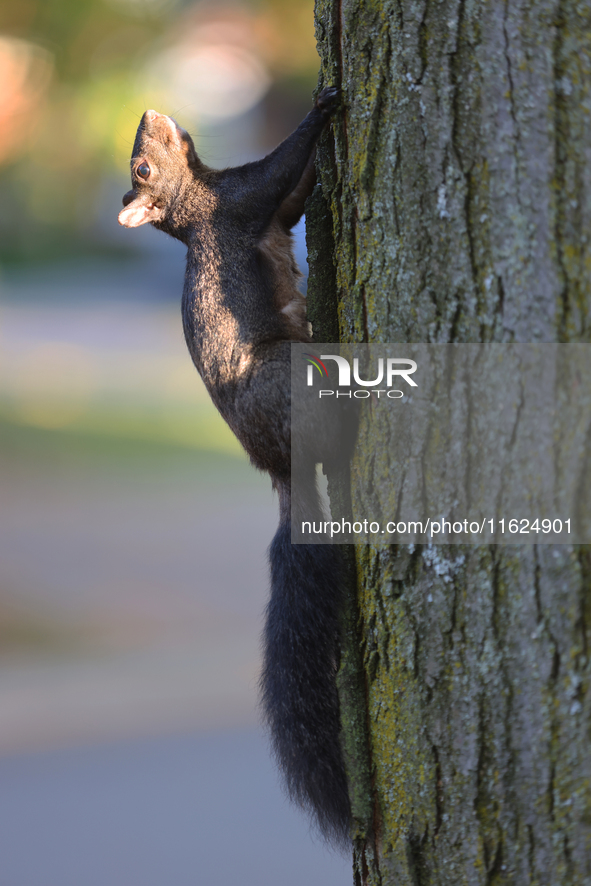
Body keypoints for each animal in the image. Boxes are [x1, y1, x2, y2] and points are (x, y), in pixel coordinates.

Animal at [118, 88, 354, 848]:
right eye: (141, 165)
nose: (151, 111)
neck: (197, 205)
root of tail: (280, 467)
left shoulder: (264, 209)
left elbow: (298, 194)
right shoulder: (245, 201)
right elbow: (283, 168)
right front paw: (322, 105)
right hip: (292, 378)